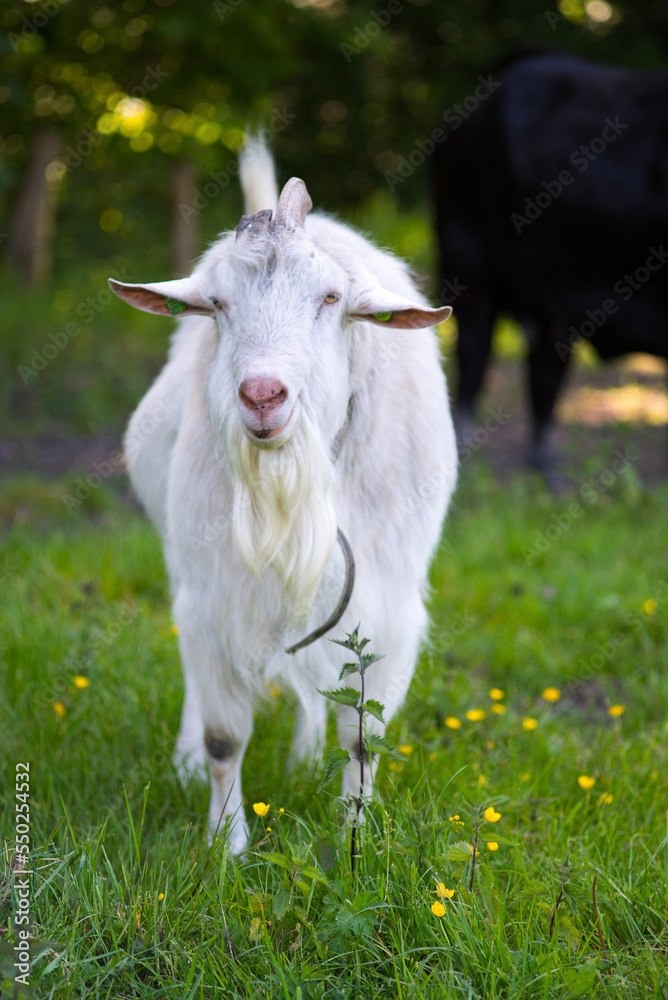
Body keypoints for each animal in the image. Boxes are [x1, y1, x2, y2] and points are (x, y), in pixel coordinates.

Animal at [110, 140, 457, 853]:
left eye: (330, 297)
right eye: (217, 304)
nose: (264, 395)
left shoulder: (387, 602)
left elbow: (363, 736)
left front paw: (357, 840)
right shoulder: (214, 595)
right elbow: (225, 737)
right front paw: (225, 848)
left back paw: (303, 762)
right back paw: (188, 764)